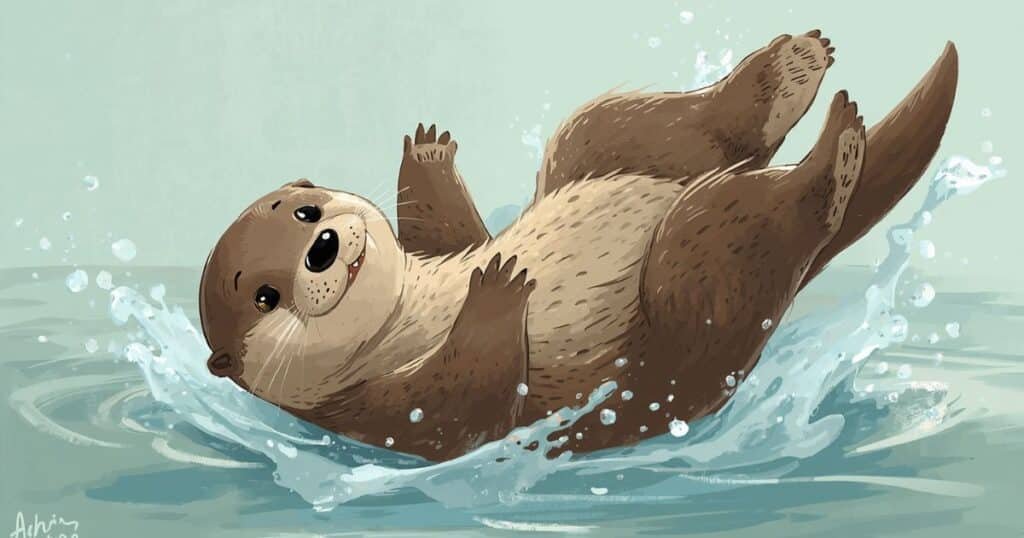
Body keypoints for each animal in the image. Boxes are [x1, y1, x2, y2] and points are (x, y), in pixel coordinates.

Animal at [199, 32, 958, 461]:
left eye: (305, 211)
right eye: (264, 295)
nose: (323, 245)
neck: (406, 317)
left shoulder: (436, 254)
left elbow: (456, 232)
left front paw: (429, 154)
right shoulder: (376, 414)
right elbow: (468, 410)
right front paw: (498, 288)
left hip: (604, 147)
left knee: (639, 126)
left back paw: (790, 71)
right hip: (696, 281)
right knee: (766, 223)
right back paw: (836, 152)